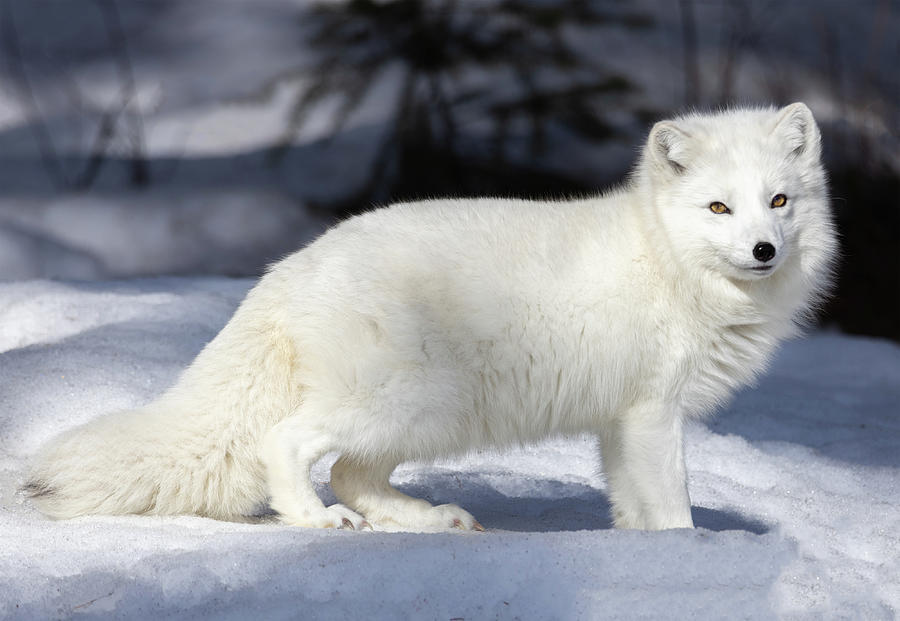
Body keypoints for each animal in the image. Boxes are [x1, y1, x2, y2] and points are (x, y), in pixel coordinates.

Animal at [22, 104, 836, 532]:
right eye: (719, 207)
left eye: (779, 201)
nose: (764, 250)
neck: (668, 262)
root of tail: (289, 270)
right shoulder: (652, 412)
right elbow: (672, 505)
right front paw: (689, 552)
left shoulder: (618, 423)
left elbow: (631, 506)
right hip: (402, 402)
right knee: (289, 446)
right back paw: (315, 521)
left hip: (424, 416)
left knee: (352, 474)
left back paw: (430, 519)